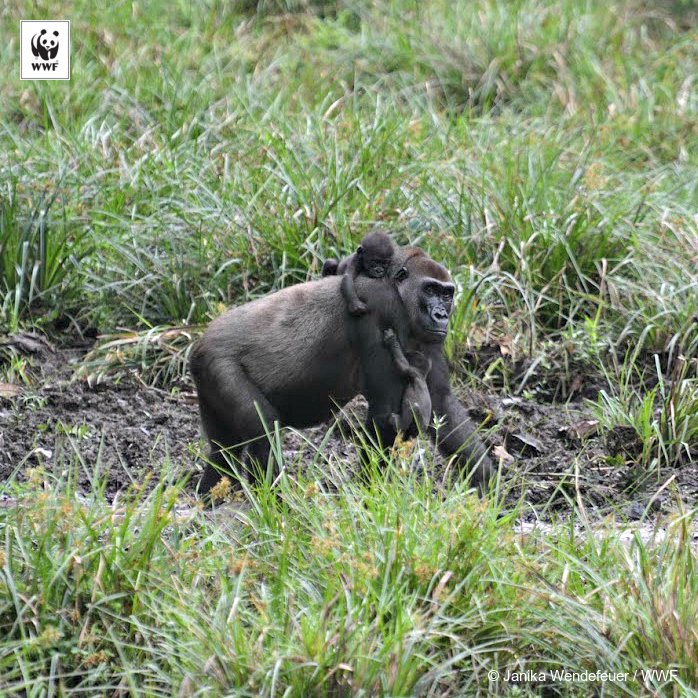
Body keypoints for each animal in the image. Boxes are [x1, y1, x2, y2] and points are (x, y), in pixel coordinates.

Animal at [189, 246, 493, 494]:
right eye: (429, 290)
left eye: (447, 294)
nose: (441, 315)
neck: (396, 288)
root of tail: (198, 344)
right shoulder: (380, 307)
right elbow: (385, 412)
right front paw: (370, 494)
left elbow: (443, 406)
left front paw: (493, 489)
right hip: (218, 361)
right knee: (263, 429)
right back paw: (274, 504)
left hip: (207, 376)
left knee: (222, 451)